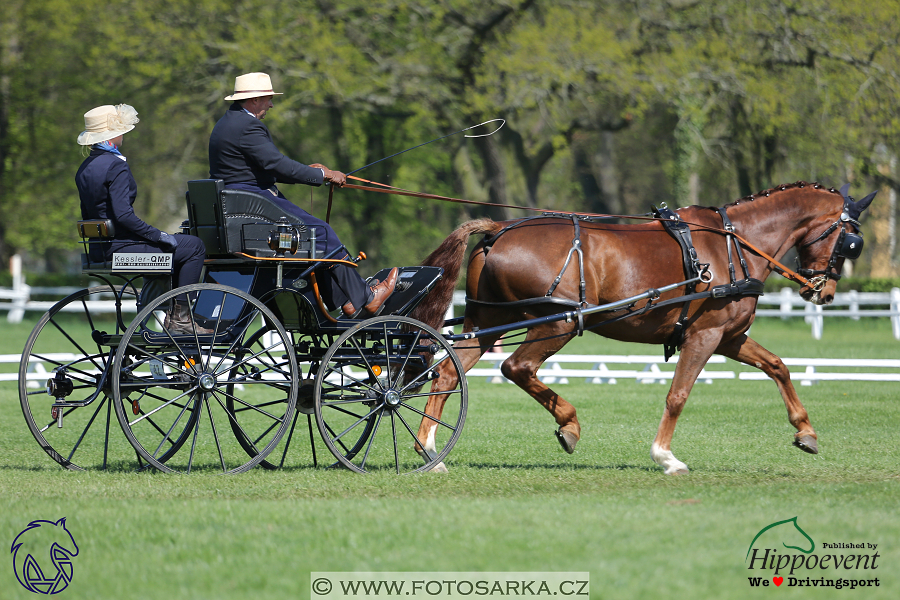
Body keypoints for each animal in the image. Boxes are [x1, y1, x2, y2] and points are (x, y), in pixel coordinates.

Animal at [412, 183, 876, 474]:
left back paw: (430, 449)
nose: (825, 292)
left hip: (486, 323)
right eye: (852, 240)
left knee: (449, 372)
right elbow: (678, 395)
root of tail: (500, 229)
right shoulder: (704, 336)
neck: (735, 245)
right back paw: (569, 424)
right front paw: (665, 457)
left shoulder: (728, 337)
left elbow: (777, 365)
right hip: (557, 323)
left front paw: (806, 431)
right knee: (517, 368)